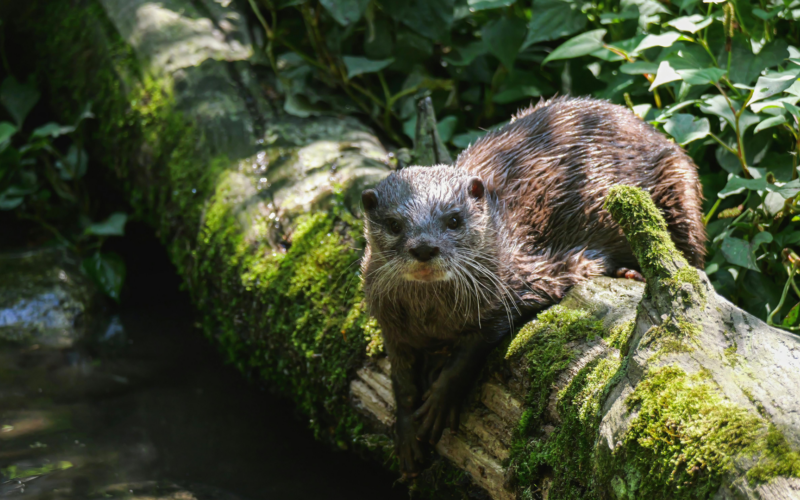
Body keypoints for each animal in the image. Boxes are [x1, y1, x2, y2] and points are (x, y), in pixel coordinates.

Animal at [360, 96, 706, 476]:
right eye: (394, 224)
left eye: (454, 219)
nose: (424, 248)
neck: (433, 319)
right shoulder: (391, 325)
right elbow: (401, 380)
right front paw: (406, 433)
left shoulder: (517, 282)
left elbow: (474, 347)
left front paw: (440, 396)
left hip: (681, 188)